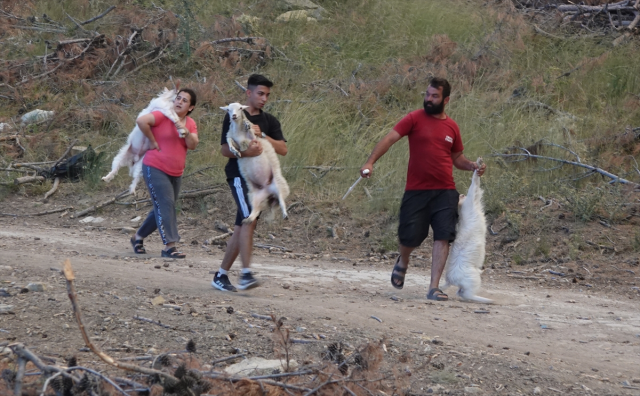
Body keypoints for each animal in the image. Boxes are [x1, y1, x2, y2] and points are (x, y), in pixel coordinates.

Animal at [442, 158, 492, 304]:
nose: (461, 194)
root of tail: (451, 279)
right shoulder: (472, 197)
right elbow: (475, 182)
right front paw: (478, 164)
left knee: (460, 292)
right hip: (473, 281)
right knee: (465, 294)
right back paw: (486, 300)